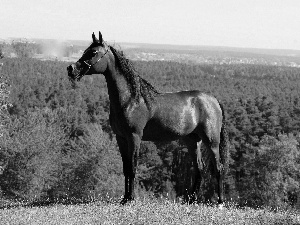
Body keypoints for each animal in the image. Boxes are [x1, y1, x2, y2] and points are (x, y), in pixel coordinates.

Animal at [67, 31, 227, 206]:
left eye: (93, 52)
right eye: (85, 50)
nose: (71, 69)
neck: (131, 100)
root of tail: (213, 100)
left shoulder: (134, 137)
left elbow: (132, 167)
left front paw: (130, 198)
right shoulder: (121, 138)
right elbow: (126, 168)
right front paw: (124, 198)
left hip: (211, 141)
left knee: (218, 168)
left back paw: (220, 202)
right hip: (192, 140)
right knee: (199, 168)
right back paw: (191, 200)